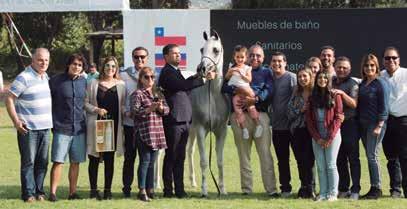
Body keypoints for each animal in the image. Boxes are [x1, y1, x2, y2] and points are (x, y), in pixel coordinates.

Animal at [187, 29, 231, 198]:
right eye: (201, 49)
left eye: (216, 50)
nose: (202, 69)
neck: (212, 97)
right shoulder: (201, 130)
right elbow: (204, 161)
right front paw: (204, 190)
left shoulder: (221, 131)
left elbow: (219, 161)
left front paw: (222, 189)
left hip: (191, 130)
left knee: (189, 151)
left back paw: (193, 182)